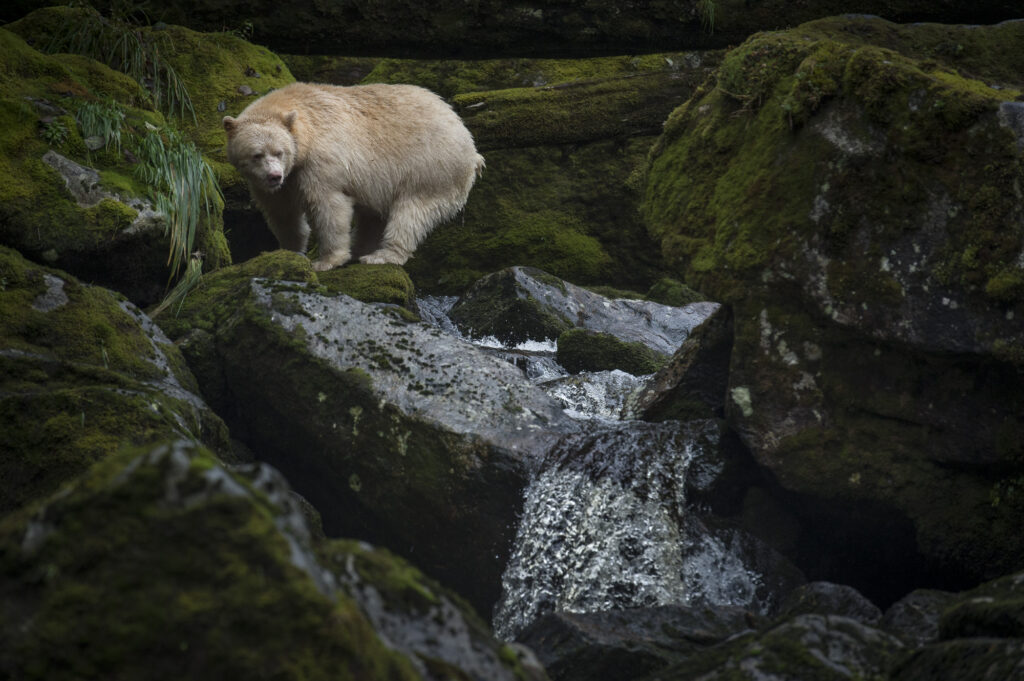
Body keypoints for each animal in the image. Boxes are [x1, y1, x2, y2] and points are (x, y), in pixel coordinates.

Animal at [223, 82, 485, 270]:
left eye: (280, 151)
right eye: (257, 155)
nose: (274, 176)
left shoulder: (321, 162)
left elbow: (328, 205)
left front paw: (326, 261)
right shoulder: (276, 183)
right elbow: (282, 213)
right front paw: (290, 251)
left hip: (430, 168)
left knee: (411, 212)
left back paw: (381, 255)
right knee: (373, 216)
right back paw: (361, 250)